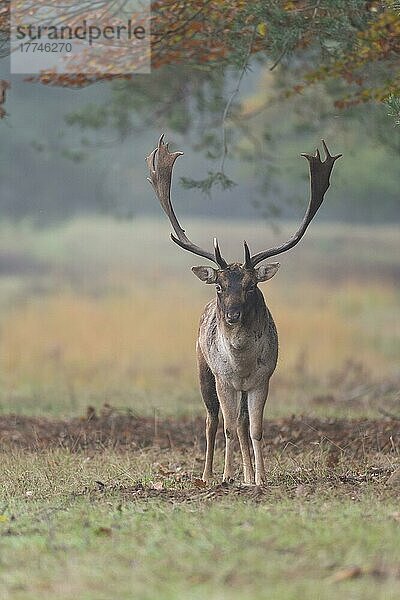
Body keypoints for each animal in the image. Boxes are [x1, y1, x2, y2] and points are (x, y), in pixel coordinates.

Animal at [147, 134, 340, 486]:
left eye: (251, 286)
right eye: (219, 286)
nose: (232, 314)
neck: (242, 364)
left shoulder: (263, 379)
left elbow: (255, 428)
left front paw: (259, 478)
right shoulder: (224, 379)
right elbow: (228, 427)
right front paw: (231, 476)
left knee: (240, 422)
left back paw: (242, 473)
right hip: (203, 369)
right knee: (213, 420)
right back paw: (209, 474)